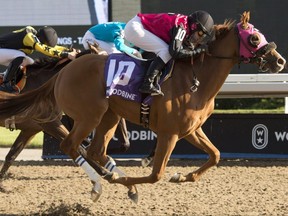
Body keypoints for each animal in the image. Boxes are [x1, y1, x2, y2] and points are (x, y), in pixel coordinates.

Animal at [0, 11, 286, 202]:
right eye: (254, 38)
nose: (280, 61)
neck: (197, 79)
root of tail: (64, 70)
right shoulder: (169, 133)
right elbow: (156, 174)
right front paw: (129, 181)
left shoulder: (191, 130)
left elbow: (215, 155)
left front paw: (181, 177)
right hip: (88, 116)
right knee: (71, 146)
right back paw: (101, 183)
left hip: (108, 116)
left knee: (95, 150)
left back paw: (112, 179)